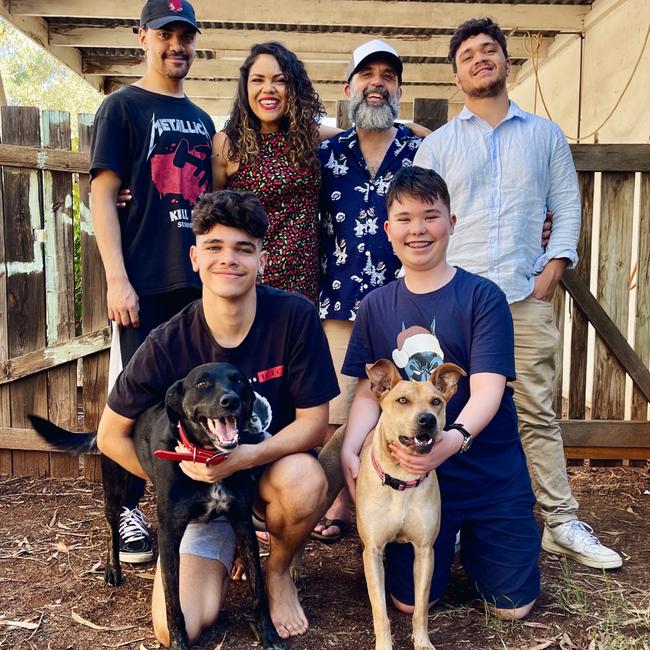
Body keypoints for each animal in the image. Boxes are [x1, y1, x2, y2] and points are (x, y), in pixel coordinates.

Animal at [29, 362, 284, 644]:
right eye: (202, 384)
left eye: (239, 380)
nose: (231, 400)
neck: (206, 456)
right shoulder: (169, 534)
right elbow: (173, 601)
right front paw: (179, 643)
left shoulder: (242, 522)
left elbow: (258, 587)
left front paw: (269, 633)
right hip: (114, 487)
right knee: (111, 526)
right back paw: (112, 570)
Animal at [354, 356, 466, 648]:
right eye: (402, 400)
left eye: (436, 401)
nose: (427, 419)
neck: (402, 481)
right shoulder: (373, 551)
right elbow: (380, 610)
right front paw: (384, 644)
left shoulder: (425, 550)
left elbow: (420, 607)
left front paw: (422, 641)